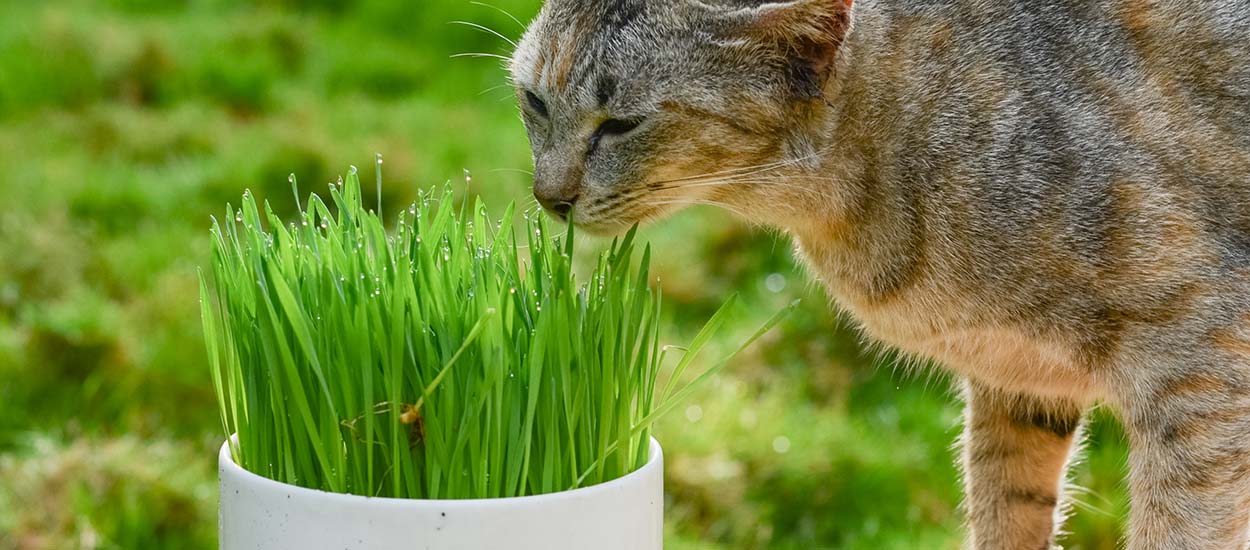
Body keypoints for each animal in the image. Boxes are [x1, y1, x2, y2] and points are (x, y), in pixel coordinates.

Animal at [512, 0, 1250, 547]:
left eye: (622, 124)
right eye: (535, 102)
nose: (549, 197)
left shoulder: (1202, 370)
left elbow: (1179, 527)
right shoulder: (1019, 380)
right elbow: (1005, 509)